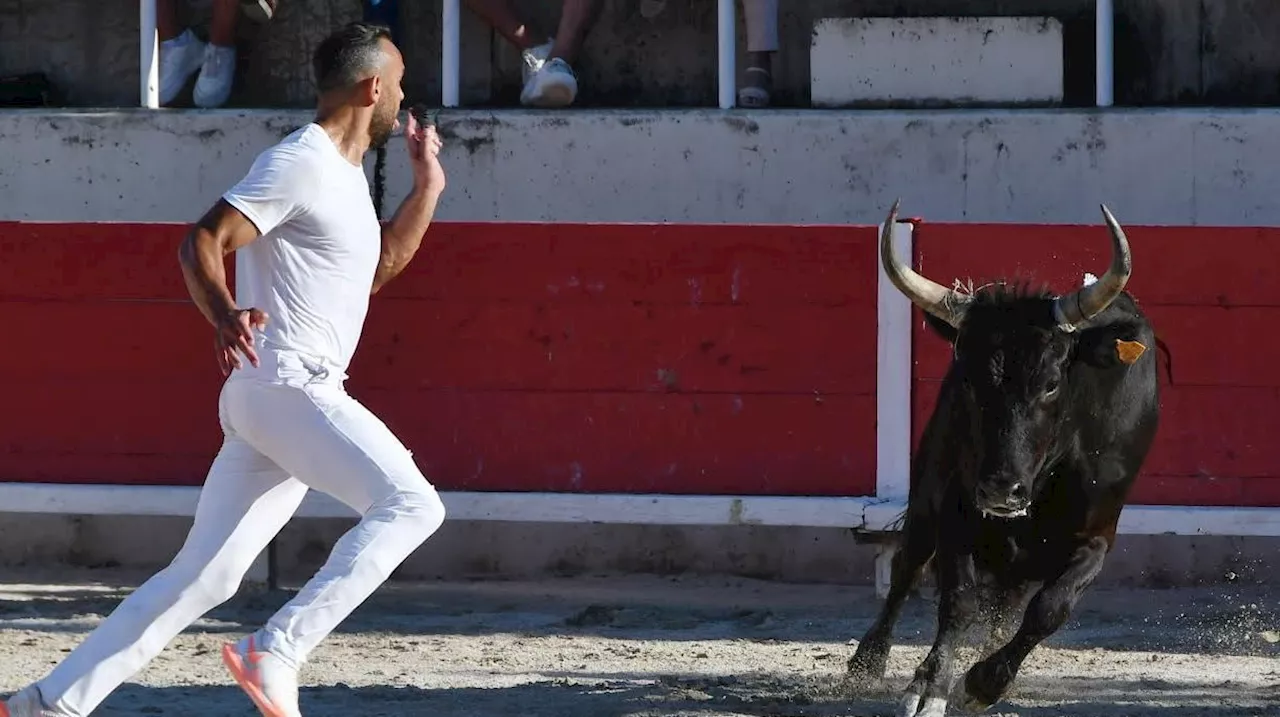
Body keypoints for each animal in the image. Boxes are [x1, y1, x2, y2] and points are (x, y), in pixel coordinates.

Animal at [849, 202, 1162, 717]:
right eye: (969, 379)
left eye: (1051, 384)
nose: (1000, 489)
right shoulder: (954, 507)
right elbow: (958, 602)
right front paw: (929, 688)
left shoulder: (1097, 537)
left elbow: (1049, 609)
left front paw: (983, 683)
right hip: (926, 490)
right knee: (907, 569)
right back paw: (866, 662)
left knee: (1008, 606)